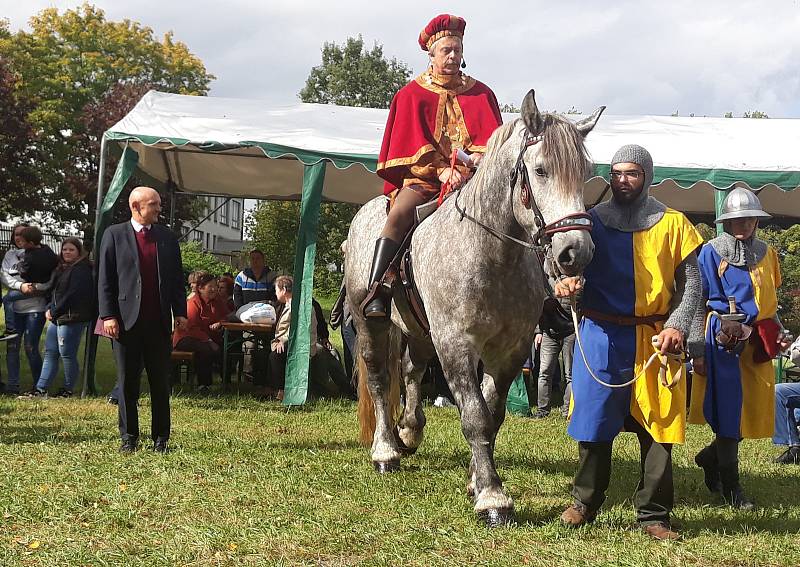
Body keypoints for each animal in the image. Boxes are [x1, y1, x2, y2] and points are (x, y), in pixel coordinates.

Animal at [346, 90, 604, 528]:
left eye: (584, 173)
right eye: (540, 170)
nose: (576, 252)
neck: (490, 254)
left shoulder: (509, 350)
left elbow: (493, 412)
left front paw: (475, 478)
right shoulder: (456, 346)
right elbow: (475, 415)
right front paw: (492, 497)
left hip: (418, 330)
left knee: (412, 371)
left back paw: (410, 430)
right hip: (370, 322)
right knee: (380, 377)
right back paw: (385, 450)